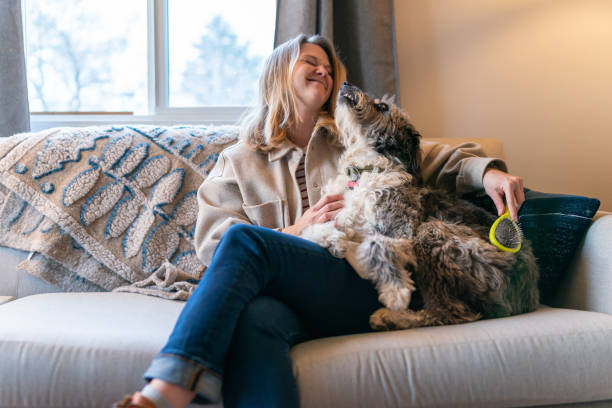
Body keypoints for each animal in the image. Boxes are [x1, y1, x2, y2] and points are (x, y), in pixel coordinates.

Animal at [304, 81, 536, 330]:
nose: (347, 83)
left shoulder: (402, 232)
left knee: (450, 312)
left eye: (383, 106)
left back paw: (390, 317)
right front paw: (330, 237)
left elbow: (377, 244)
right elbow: (314, 228)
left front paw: (396, 291)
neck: (365, 170)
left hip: (432, 233)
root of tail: (529, 297)